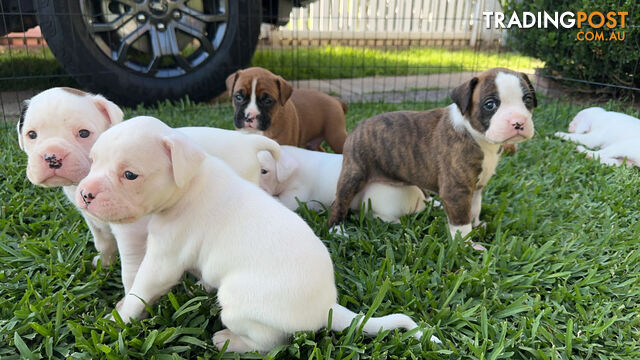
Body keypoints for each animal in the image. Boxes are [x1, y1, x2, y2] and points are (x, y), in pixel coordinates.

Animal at [255, 145, 430, 224]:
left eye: (264, 171)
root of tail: (420, 198)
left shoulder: (297, 195)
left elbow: (283, 201)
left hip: (380, 198)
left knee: (391, 219)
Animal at [328, 67, 536, 249]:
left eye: (527, 100)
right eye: (490, 104)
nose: (518, 122)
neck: (477, 136)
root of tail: (357, 128)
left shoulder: (477, 186)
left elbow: (475, 207)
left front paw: (477, 224)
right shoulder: (457, 190)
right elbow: (461, 223)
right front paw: (466, 245)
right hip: (353, 174)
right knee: (340, 202)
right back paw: (336, 230)